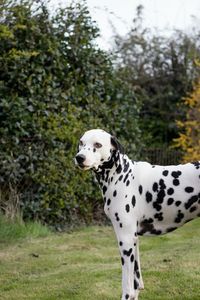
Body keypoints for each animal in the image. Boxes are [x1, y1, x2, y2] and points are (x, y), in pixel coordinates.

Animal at [74, 129, 200, 300]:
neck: (121, 176)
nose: (79, 157)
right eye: (81, 143)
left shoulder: (125, 240)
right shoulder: (134, 240)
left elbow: (127, 286)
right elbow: (136, 281)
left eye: (98, 144)